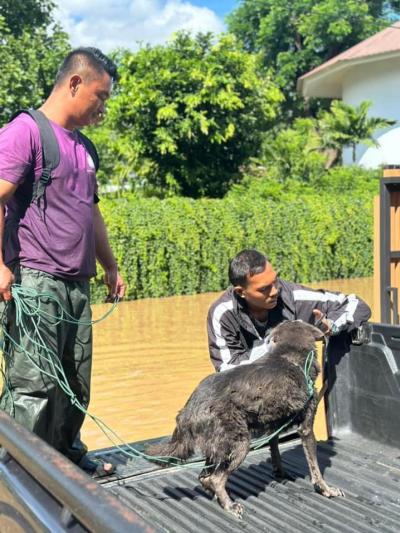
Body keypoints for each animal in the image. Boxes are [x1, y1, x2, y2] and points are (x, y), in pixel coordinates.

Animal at [147, 320, 344, 516]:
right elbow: (315, 467)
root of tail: (188, 409)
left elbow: (275, 454)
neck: (288, 355)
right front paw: (326, 490)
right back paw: (230, 505)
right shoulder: (306, 428)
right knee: (215, 478)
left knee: (204, 477)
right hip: (240, 444)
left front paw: (280, 473)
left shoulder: (273, 428)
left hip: (217, 448)